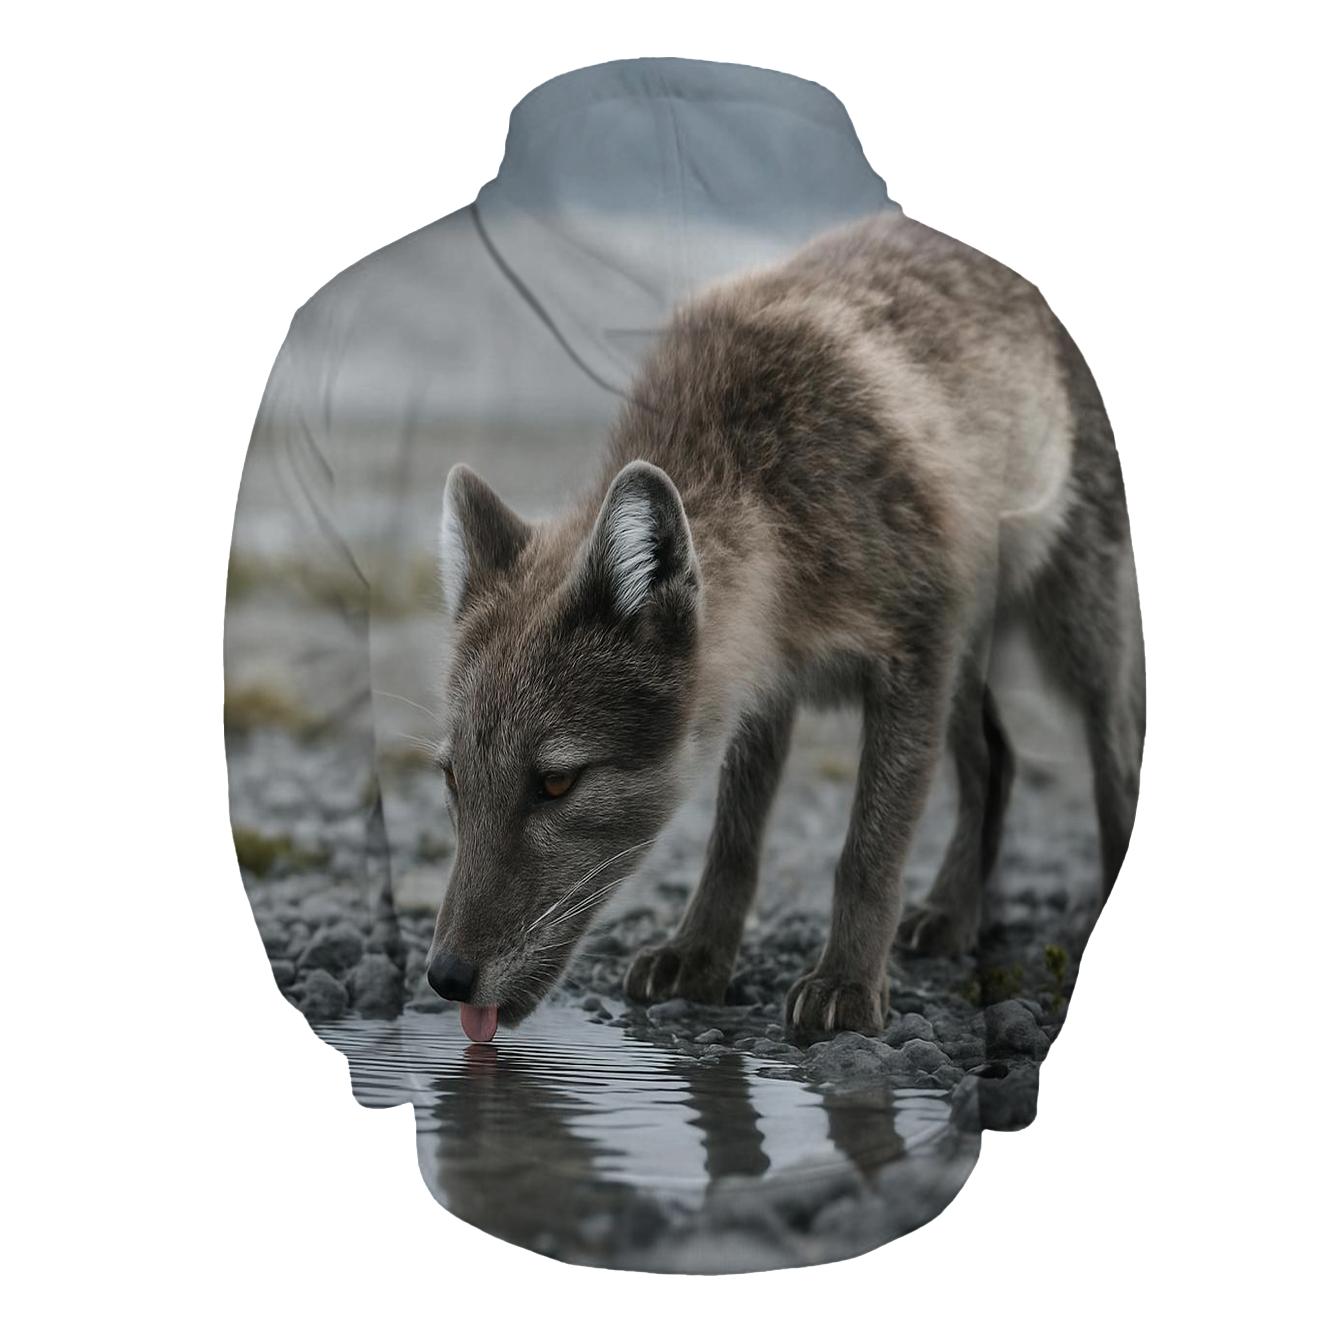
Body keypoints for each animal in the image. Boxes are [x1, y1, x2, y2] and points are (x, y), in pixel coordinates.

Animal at [425, 213, 1144, 1043]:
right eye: (452, 777)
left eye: (556, 782)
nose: (444, 977)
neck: (774, 498)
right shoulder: (764, 686)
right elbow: (733, 840)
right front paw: (698, 956)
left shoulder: (913, 654)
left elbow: (867, 850)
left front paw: (845, 983)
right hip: (971, 656)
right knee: (996, 758)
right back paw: (952, 915)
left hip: (1070, 627)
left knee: (1115, 754)